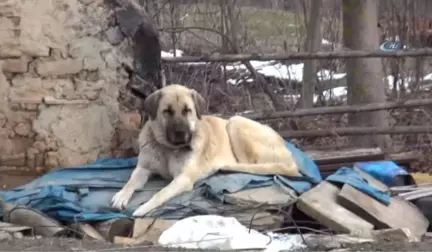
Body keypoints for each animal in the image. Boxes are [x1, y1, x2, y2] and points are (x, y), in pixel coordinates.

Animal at [109, 84, 302, 217]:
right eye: (167, 111)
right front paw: (121, 196)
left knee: (253, 167)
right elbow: (130, 183)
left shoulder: (183, 178)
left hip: (235, 122)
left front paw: (143, 208)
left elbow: (160, 193)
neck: (168, 149)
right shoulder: (143, 168)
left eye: (187, 111)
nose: (181, 134)